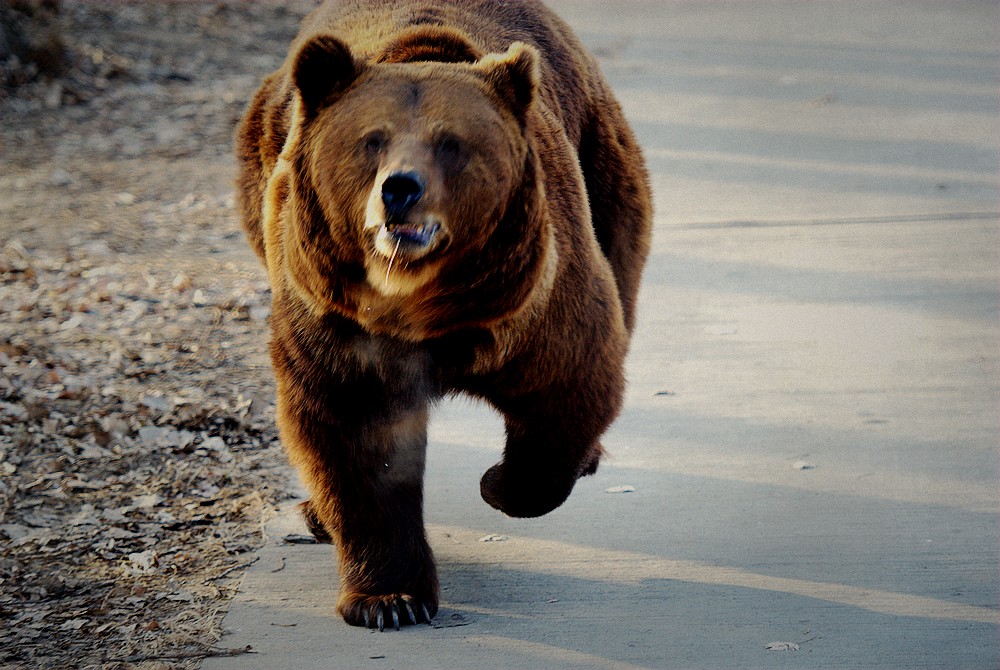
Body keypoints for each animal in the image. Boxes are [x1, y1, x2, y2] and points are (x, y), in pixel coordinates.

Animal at [237, 0, 652, 632]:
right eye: (372, 140)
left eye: (451, 143)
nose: (400, 190)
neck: (420, 301)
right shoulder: (334, 317)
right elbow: (355, 432)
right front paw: (388, 600)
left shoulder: (530, 302)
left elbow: (569, 382)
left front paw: (500, 482)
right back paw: (314, 514)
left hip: (605, 168)